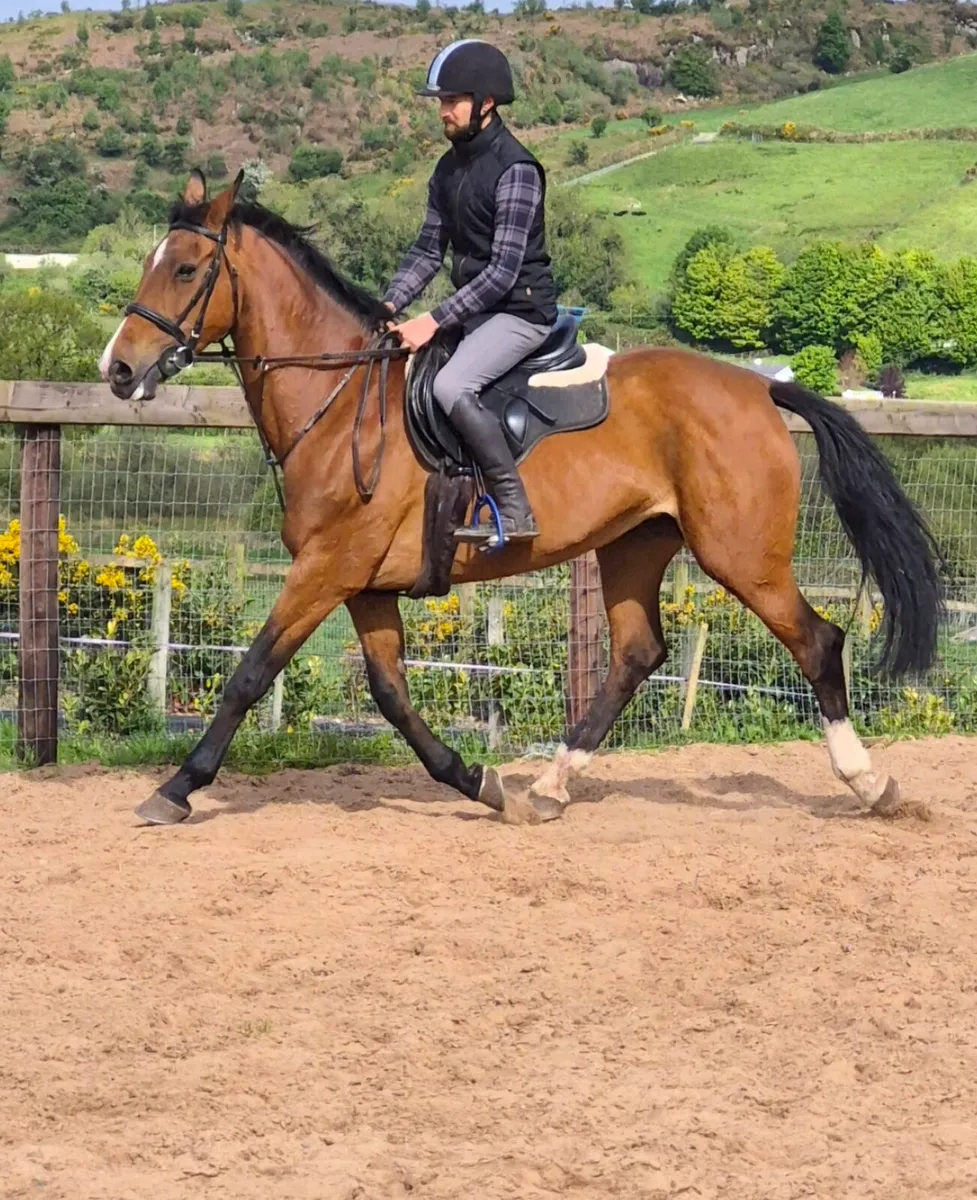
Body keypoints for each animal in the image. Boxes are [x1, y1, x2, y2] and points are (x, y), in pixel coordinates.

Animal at [101, 169, 944, 826]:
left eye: (185, 270)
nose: (118, 369)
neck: (339, 403)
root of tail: (759, 388)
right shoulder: (362, 583)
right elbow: (389, 693)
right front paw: (477, 780)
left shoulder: (327, 568)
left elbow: (251, 673)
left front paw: (176, 789)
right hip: (635, 544)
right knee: (636, 654)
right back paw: (547, 787)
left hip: (740, 556)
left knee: (816, 642)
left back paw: (869, 784)